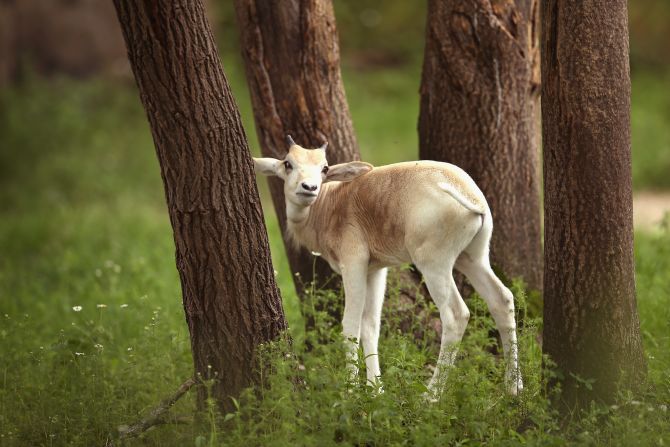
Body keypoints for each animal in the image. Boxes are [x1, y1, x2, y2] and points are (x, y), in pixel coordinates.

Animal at [255, 138, 524, 398]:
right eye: (288, 163)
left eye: (324, 168)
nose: (309, 188)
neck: (334, 202)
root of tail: (468, 193)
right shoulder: (375, 270)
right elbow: (371, 326)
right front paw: (376, 389)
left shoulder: (353, 263)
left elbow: (350, 325)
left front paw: (351, 391)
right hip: (473, 258)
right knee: (502, 299)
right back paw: (513, 388)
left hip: (434, 264)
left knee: (456, 315)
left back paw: (431, 396)